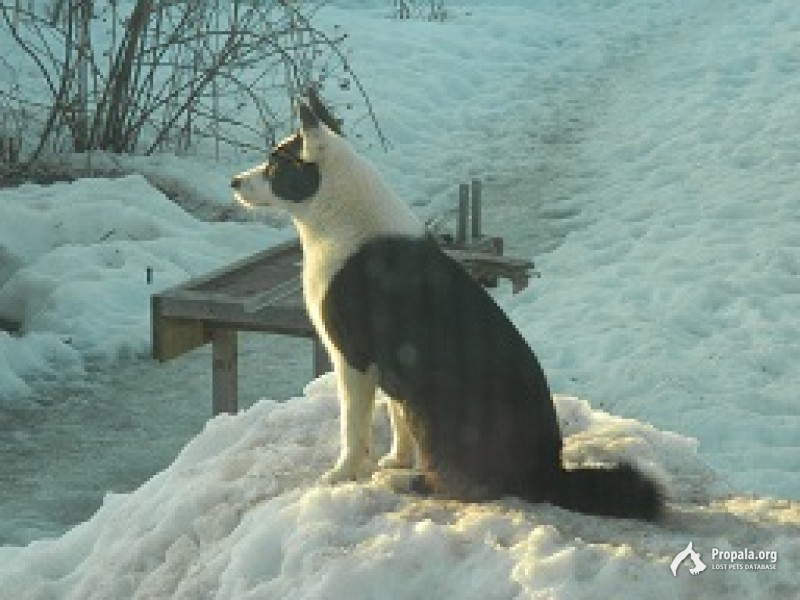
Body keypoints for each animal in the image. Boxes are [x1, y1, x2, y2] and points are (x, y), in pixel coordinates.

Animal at [230, 92, 664, 520]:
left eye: (274, 166)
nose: (233, 181)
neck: (337, 215)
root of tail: (550, 473)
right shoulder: (392, 362)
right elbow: (396, 418)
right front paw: (397, 458)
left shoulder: (353, 359)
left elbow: (353, 428)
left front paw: (343, 474)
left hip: (434, 396)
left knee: (457, 484)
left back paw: (406, 483)